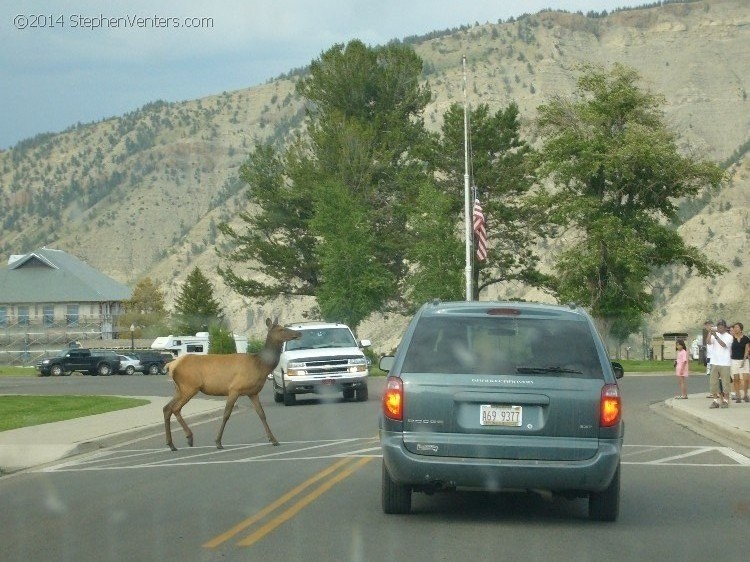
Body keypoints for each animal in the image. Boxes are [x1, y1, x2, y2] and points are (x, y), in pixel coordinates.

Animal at [163, 318, 302, 448]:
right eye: (281, 329)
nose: (299, 333)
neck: (260, 366)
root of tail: (172, 365)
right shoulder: (234, 389)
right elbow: (226, 414)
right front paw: (218, 442)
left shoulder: (253, 392)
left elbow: (262, 414)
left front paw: (273, 440)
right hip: (189, 387)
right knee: (175, 408)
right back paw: (188, 438)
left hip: (179, 389)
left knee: (167, 408)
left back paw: (172, 444)